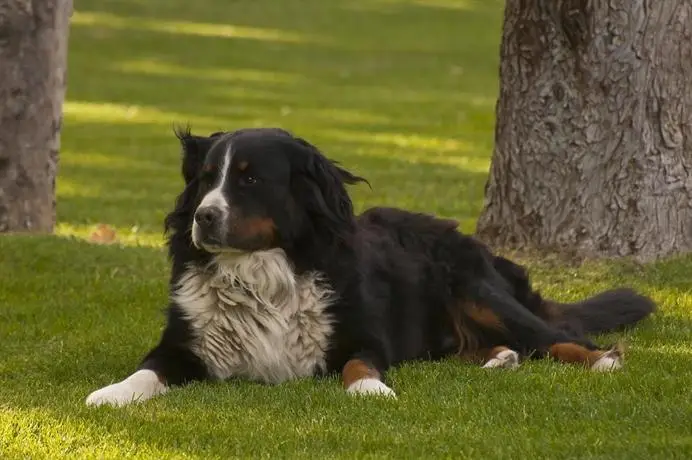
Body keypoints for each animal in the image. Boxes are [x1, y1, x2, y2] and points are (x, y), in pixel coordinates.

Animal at [84, 126, 656, 406]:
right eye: (205, 179)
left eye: (249, 179)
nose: (203, 218)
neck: (260, 273)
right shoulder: (184, 345)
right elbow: (146, 371)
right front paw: (112, 393)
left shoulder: (363, 337)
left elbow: (359, 365)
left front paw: (372, 390)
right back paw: (499, 359)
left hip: (479, 292)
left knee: (555, 337)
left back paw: (599, 359)